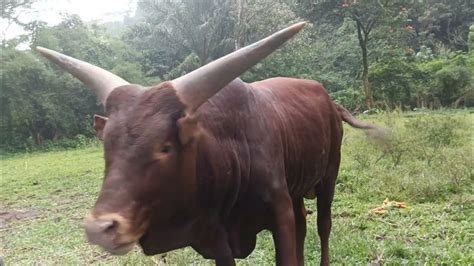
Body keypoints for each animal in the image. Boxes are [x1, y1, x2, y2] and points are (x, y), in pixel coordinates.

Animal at [36, 21, 386, 264]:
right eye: (106, 145)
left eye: (165, 147)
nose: (101, 229)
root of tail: (330, 101)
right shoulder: (216, 234)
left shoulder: (279, 213)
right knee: (304, 222)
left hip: (329, 175)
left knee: (323, 225)